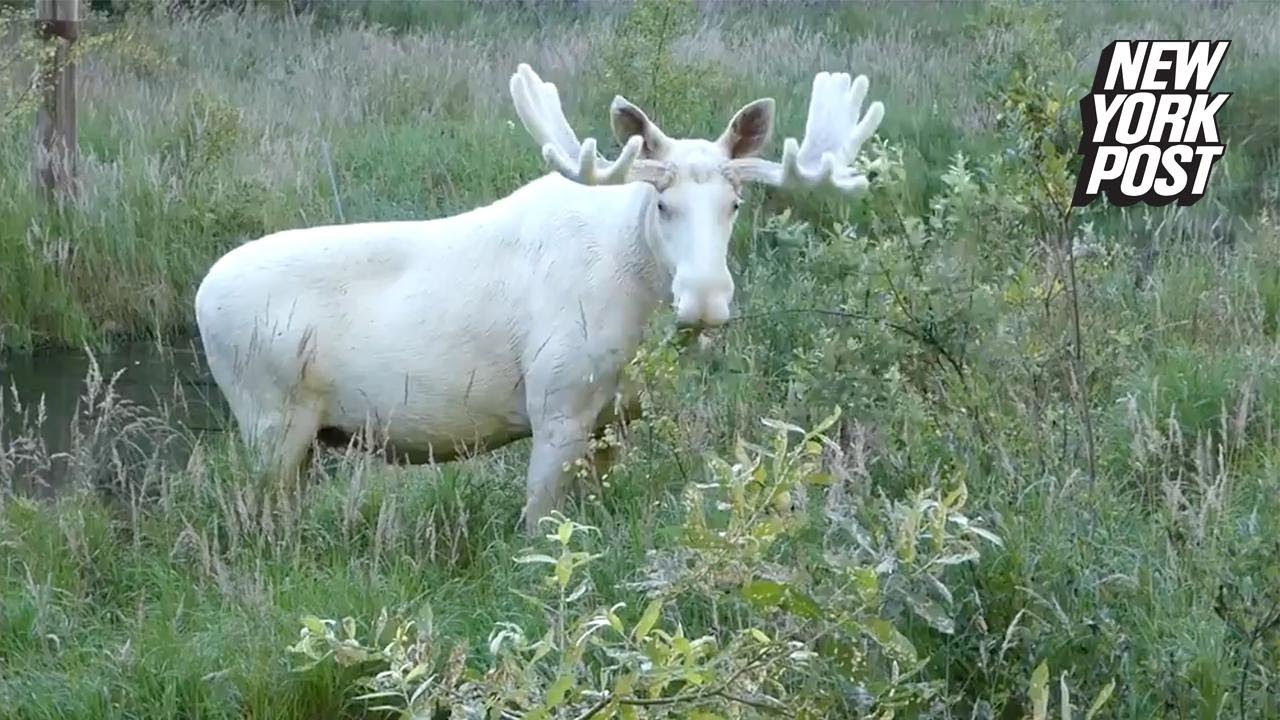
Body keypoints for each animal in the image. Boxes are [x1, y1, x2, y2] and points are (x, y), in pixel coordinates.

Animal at [194, 64, 884, 533]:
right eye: (663, 204)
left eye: (735, 204)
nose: (706, 299)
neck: (637, 309)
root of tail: (201, 295)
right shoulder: (555, 405)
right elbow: (540, 525)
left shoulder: (614, 421)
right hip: (267, 419)